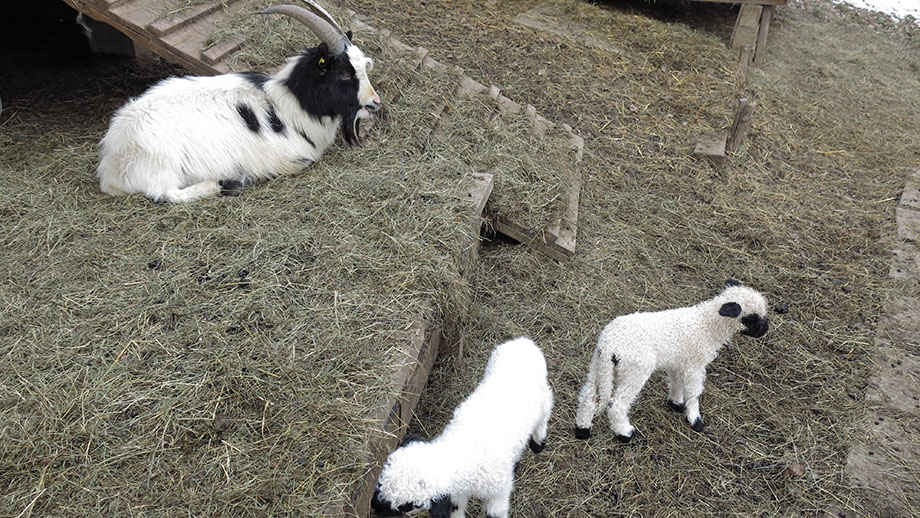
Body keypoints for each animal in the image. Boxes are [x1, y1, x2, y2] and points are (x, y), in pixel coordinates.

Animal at [96, 1, 378, 203]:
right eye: (343, 73)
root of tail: (112, 163)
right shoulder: (289, 159)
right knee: (165, 193)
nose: (374, 104)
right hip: (163, 164)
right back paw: (226, 184)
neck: (288, 103)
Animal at [368, 338, 552, 518]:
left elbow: (495, 512)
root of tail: (523, 343)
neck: (459, 452)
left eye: (408, 505)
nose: (375, 509)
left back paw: (538, 443)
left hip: (543, 398)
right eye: (379, 481)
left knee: (546, 412)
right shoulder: (456, 495)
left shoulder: (498, 491)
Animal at [576, 282, 768, 444]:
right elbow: (694, 392)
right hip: (635, 370)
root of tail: (609, 344)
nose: (765, 331)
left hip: (598, 366)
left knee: (588, 396)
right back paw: (626, 434)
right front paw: (695, 420)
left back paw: (582, 430)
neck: (707, 326)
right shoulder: (695, 365)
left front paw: (675, 403)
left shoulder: (678, 362)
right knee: (616, 405)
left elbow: (676, 382)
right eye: (750, 318)